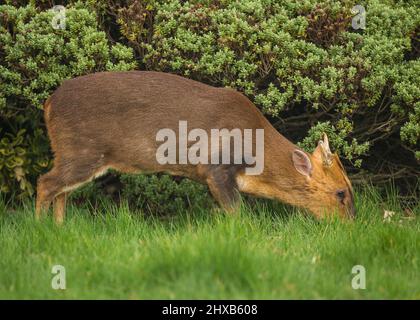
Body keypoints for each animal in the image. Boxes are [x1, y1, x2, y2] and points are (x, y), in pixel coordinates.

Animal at [36, 71, 354, 224]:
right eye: (341, 193)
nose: (349, 225)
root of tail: (48, 104)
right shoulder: (216, 167)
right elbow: (238, 212)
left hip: (74, 153)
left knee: (60, 190)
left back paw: (60, 227)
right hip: (82, 149)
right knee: (45, 182)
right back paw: (41, 228)